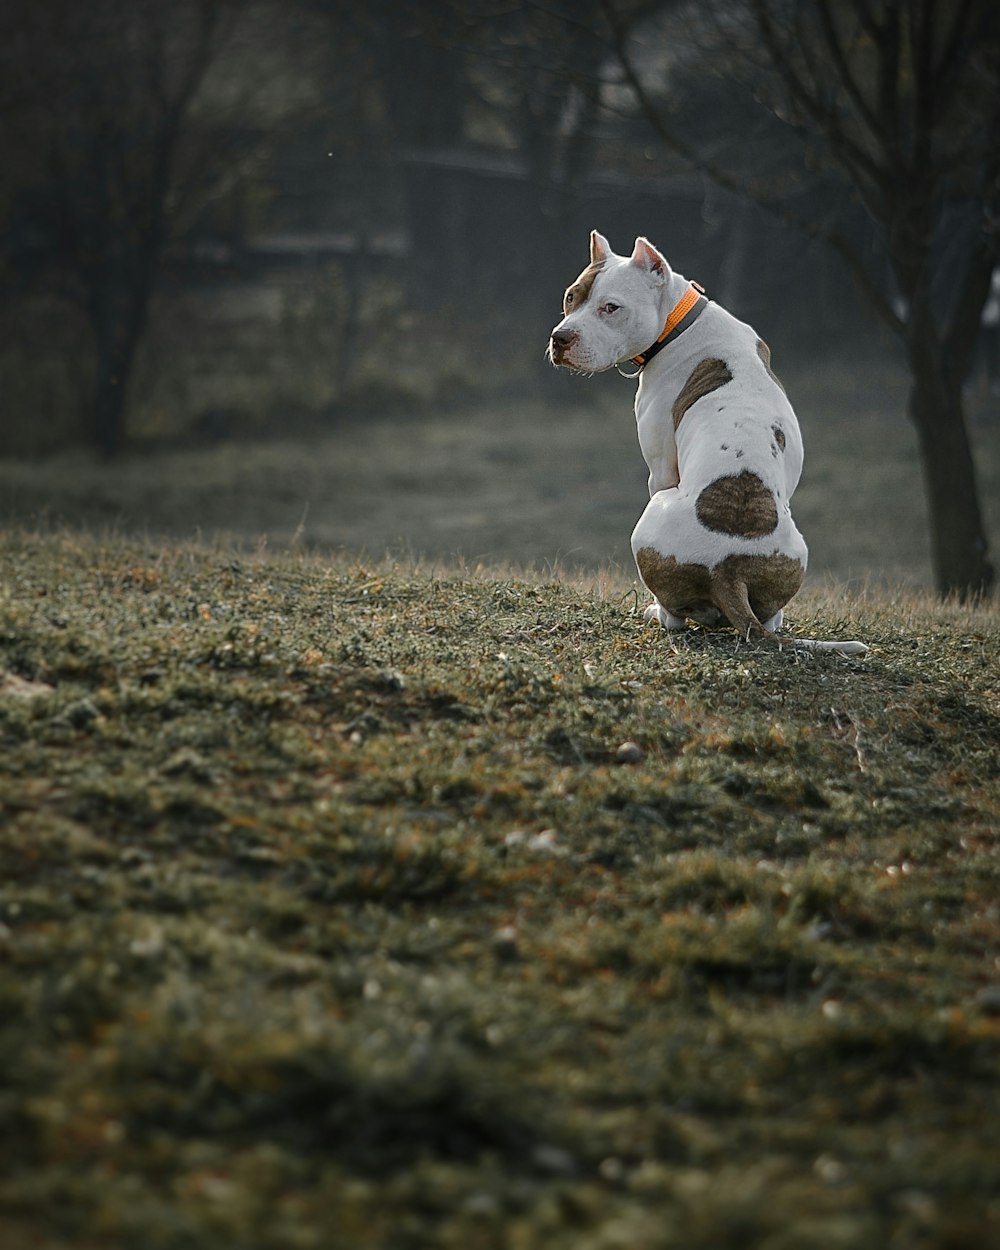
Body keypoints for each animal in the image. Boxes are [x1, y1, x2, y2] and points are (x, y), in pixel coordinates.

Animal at [547, 235, 865, 665]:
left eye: (611, 307)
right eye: (571, 297)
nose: (560, 338)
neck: (679, 322)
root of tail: (728, 569)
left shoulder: (661, 469)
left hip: (653, 513)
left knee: (674, 619)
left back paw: (655, 611)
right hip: (796, 554)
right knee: (769, 617)